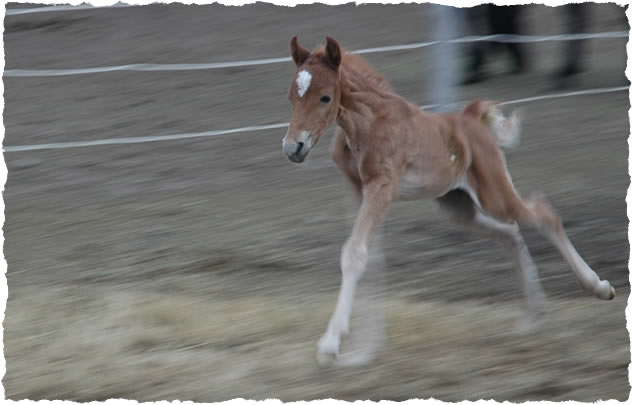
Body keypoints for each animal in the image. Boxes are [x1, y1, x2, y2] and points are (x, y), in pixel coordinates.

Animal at [280, 35, 612, 362]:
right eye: (292, 97)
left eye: (325, 97)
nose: (293, 147)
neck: (368, 122)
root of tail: (470, 117)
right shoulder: (357, 189)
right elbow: (371, 259)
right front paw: (364, 351)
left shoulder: (383, 186)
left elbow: (354, 253)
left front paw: (330, 343)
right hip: (457, 206)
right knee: (510, 234)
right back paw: (533, 317)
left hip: (495, 195)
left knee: (543, 214)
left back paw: (598, 287)